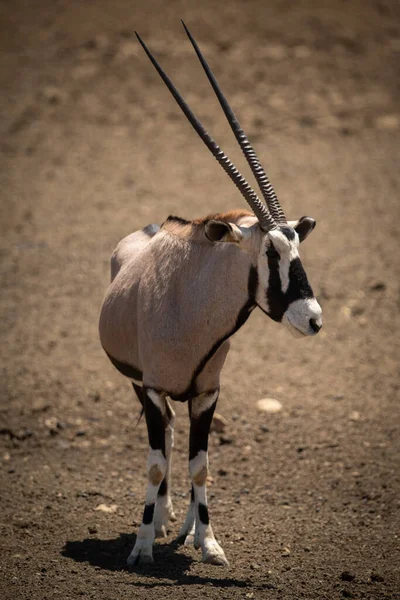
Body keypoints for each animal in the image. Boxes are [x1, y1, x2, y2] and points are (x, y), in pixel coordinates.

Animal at [99, 23, 322, 568]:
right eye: (270, 252)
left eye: (298, 246)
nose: (313, 318)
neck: (191, 305)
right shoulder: (152, 387)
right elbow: (157, 464)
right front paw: (140, 547)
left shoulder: (207, 393)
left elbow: (200, 464)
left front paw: (209, 542)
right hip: (140, 385)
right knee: (164, 440)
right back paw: (158, 523)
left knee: (180, 443)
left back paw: (181, 528)